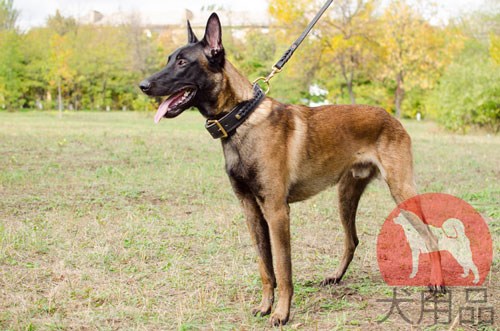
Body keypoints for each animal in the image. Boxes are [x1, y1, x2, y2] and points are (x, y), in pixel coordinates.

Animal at [138, 12, 446, 326]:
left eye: (182, 62)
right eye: (169, 59)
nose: (143, 85)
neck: (241, 118)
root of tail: (390, 116)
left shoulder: (277, 211)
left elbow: (283, 270)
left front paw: (281, 313)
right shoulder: (251, 211)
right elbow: (266, 267)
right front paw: (265, 306)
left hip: (401, 191)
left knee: (431, 235)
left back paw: (437, 283)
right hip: (345, 195)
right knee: (352, 240)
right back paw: (336, 276)